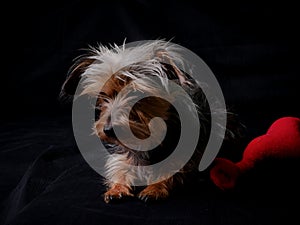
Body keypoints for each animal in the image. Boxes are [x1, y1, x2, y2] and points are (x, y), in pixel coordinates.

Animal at [60, 39, 234, 203]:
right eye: (103, 96)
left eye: (137, 94)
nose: (108, 130)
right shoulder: (123, 153)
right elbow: (119, 167)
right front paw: (117, 188)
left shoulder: (185, 154)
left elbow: (171, 168)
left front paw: (155, 188)